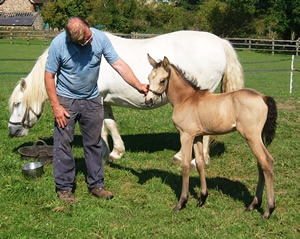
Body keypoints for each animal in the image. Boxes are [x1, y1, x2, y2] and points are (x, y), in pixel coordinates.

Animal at [8, 29, 245, 161]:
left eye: (18, 103)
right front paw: (113, 152)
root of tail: (220, 42)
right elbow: (109, 124)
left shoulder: (96, 99)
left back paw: (193, 159)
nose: (12, 131)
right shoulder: (104, 101)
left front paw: (105, 154)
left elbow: (101, 127)